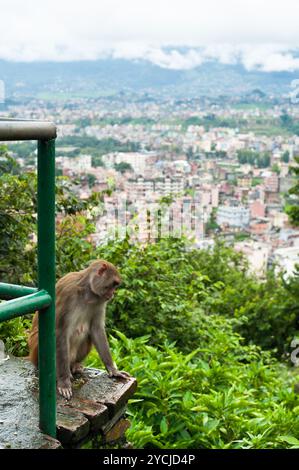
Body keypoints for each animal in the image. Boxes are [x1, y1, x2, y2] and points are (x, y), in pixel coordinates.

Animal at [28, 260, 130, 400]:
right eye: (113, 284)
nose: (112, 294)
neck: (88, 293)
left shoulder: (100, 301)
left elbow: (96, 329)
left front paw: (113, 370)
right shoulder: (68, 292)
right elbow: (60, 331)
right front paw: (64, 381)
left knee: (87, 334)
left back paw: (75, 365)